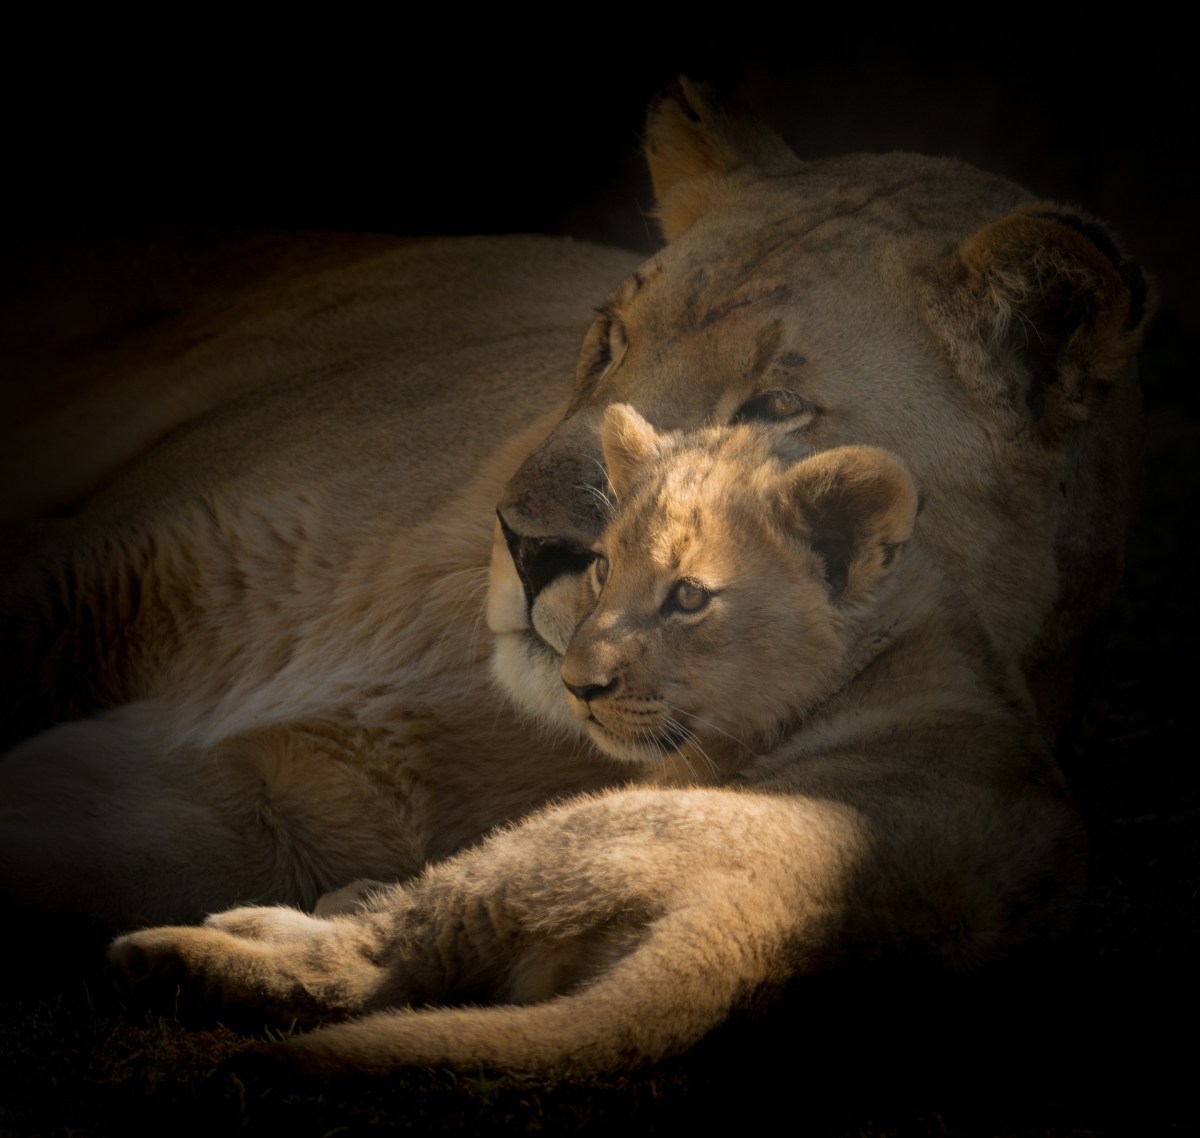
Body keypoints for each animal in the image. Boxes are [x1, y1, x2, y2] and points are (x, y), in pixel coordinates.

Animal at [108, 405, 1080, 1074]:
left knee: (374, 964)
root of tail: (759, 931)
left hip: (574, 832)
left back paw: (190, 945)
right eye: (606, 566)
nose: (578, 686)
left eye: (688, 596)